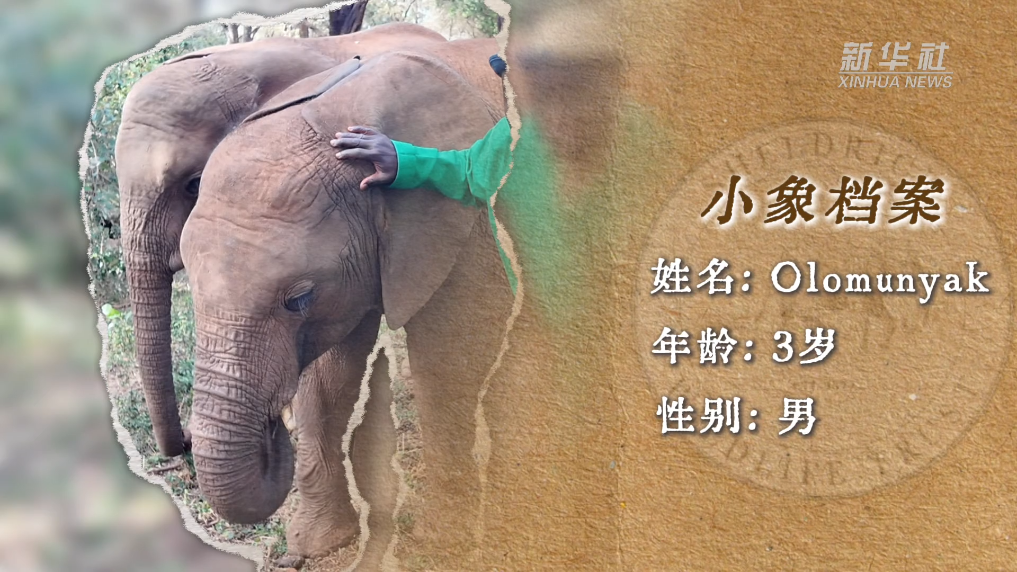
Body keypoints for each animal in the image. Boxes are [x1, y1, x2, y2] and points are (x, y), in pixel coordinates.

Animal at [179, 46, 514, 566]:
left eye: (298, 299)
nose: (273, 433)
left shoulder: (458, 218)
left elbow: (454, 356)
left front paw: (445, 540)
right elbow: (326, 380)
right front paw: (318, 544)